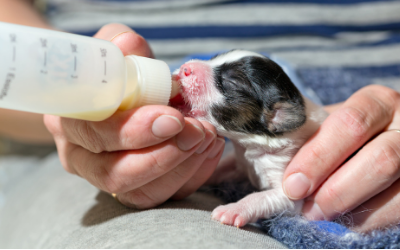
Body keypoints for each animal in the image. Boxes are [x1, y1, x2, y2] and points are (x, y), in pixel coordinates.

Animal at [170, 49, 328, 228]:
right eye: (213, 58)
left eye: (231, 82)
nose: (185, 68)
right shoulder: (240, 162)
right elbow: (222, 168)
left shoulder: (291, 190)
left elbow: (260, 197)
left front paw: (233, 209)